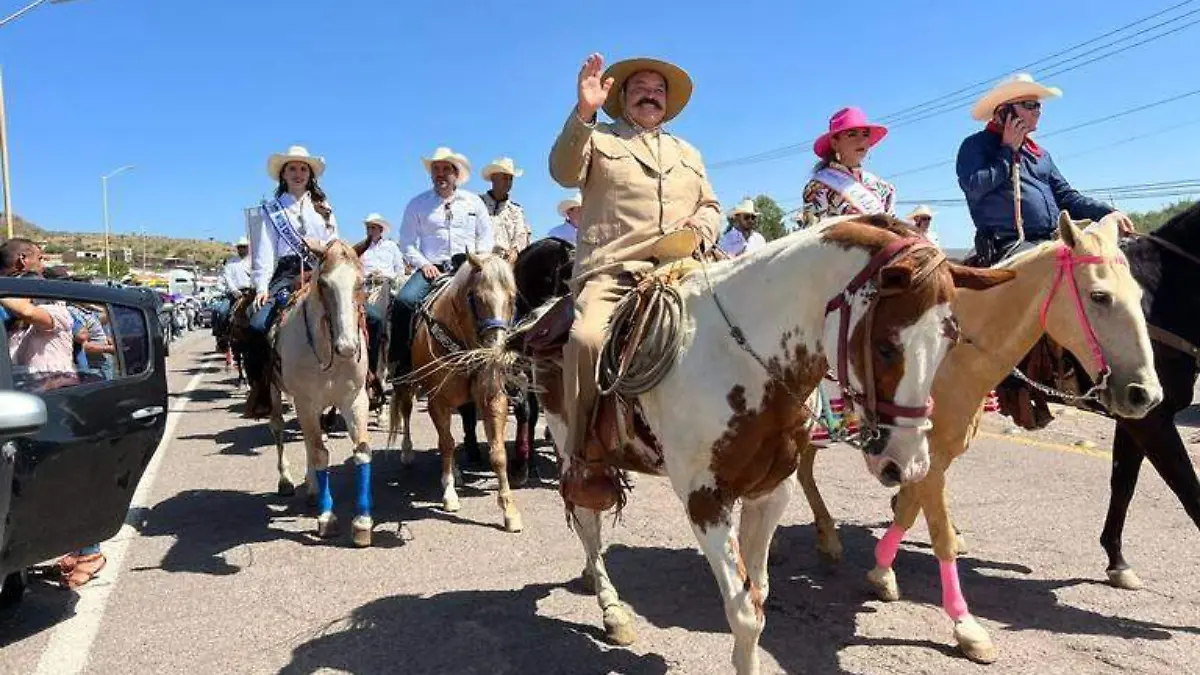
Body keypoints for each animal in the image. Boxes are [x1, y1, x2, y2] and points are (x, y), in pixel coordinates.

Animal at [268, 241, 372, 547]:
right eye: (324, 284)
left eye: (362, 282)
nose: (348, 347)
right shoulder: (305, 402)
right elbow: (320, 454)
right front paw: (328, 519)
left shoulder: (355, 401)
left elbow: (361, 452)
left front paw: (362, 523)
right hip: (277, 394)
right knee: (280, 430)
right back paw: (287, 481)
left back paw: (312, 487)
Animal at [386, 251, 523, 530]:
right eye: (475, 297)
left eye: (512, 298)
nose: (496, 353)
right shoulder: (437, 401)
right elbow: (446, 443)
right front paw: (449, 494)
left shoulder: (493, 399)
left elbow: (498, 453)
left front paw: (509, 511)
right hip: (405, 384)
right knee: (406, 412)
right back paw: (407, 452)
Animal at [535, 216, 1012, 672]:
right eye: (884, 346)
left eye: (951, 340)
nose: (907, 464)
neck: (736, 359)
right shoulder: (705, 501)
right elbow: (745, 613)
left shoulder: (770, 491)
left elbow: (759, 593)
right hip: (569, 447)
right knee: (588, 521)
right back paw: (610, 607)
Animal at [796, 211, 1161, 662]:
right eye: (1099, 296)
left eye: (1139, 294)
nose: (1145, 395)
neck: (951, 359)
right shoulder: (926, 458)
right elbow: (939, 535)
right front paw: (966, 627)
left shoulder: (929, 457)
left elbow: (910, 513)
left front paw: (882, 572)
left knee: (804, 470)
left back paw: (828, 538)